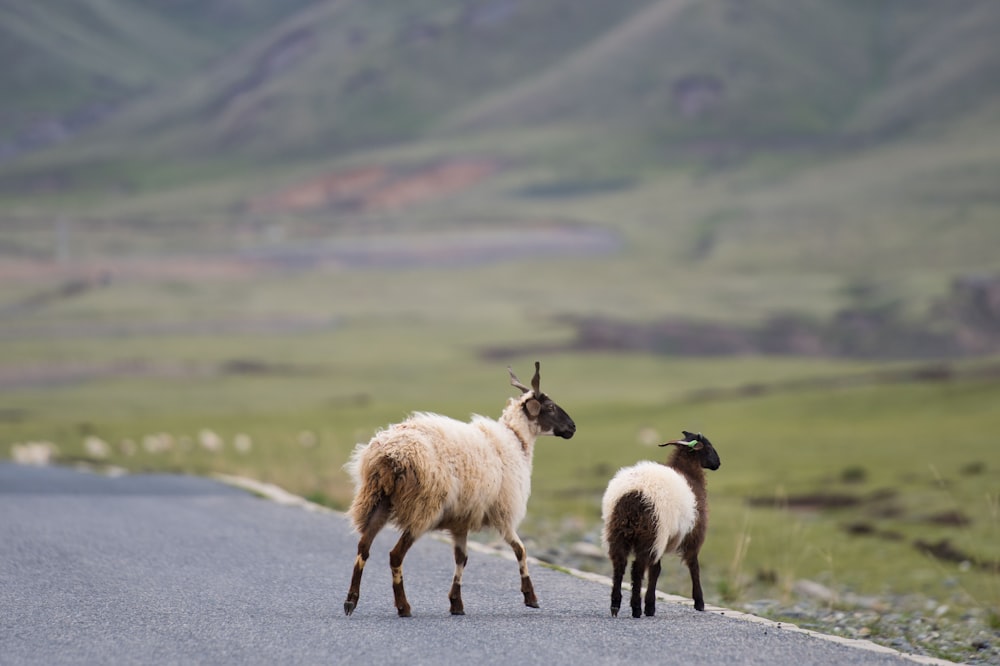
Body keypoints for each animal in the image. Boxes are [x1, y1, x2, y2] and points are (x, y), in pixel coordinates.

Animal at [344, 360, 580, 616]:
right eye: (551, 406)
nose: (572, 427)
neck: (517, 440)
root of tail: (391, 454)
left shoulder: (461, 519)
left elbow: (461, 558)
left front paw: (456, 603)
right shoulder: (503, 513)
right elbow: (520, 550)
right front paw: (530, 597)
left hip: (377, 499)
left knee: (363, 547)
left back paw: (351, 601)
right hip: (422, 508)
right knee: (395, 555)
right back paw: (403, 606)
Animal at [600, 430, 720, 612]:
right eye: (708, 446)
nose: (718, 463)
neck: (691, 474)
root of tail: (633, 494)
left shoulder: (664, 540)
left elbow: (655, 569)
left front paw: (650, 604)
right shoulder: (693, 535)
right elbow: (693, 567)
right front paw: (699, 602)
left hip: (617, 531)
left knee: (619, 565)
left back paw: (615, 604)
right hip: (651, 532)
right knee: (637, 569)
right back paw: (636, 608)